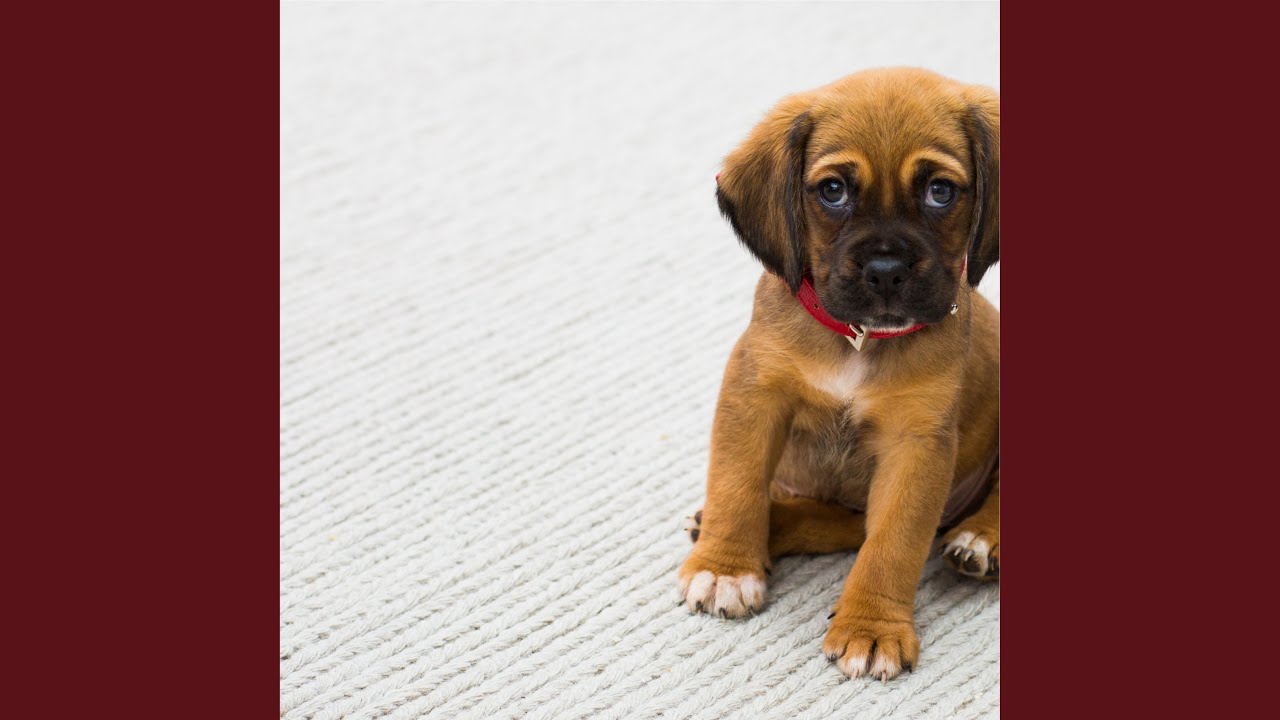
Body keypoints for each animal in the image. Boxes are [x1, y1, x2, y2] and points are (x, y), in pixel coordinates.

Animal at [679, 67, 999, 681]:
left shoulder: (915, 444)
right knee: (840, 523)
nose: (886, 271)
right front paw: (726, 565)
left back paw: (981, 538)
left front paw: (872, 627)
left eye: (940, 191)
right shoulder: (754, 395)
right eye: (833, 191)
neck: (859, 340)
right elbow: (736, 482)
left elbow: (892, 544)